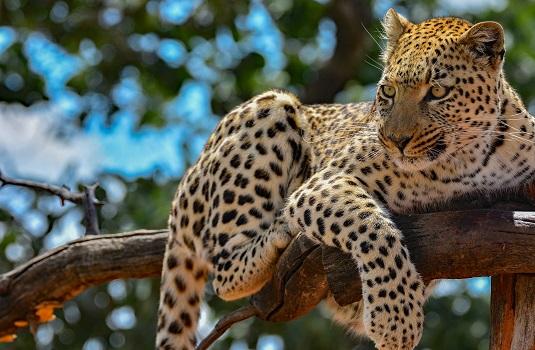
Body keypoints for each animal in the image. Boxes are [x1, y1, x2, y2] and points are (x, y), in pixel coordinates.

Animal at [155, 8, 535, 350]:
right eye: (388, 92)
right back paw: (279, 232)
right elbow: (373, 227)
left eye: (438, 92)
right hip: (271, 107)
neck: (464, 161)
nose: (396, 140)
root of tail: (184, 185)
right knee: (224, 269)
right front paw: (395, 320)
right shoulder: (323, 182)